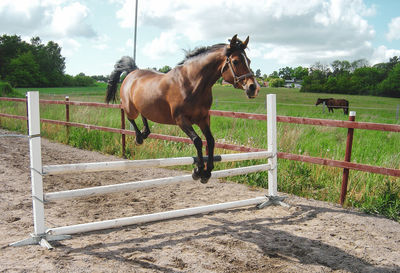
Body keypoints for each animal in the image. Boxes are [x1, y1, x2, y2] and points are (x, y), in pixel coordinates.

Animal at [105, 34, 260, 183]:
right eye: (235, 61)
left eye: (249, 61)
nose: (253, 88)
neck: (193, 83)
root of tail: (132, 72)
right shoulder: (181, 119)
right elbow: (197, 140)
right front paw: (198, 171)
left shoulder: (203, 118)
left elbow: (210, 141)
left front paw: (207, 172)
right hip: (130, 107)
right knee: (129, 116)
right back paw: (139, 137)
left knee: (144, 115)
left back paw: (145, 132)